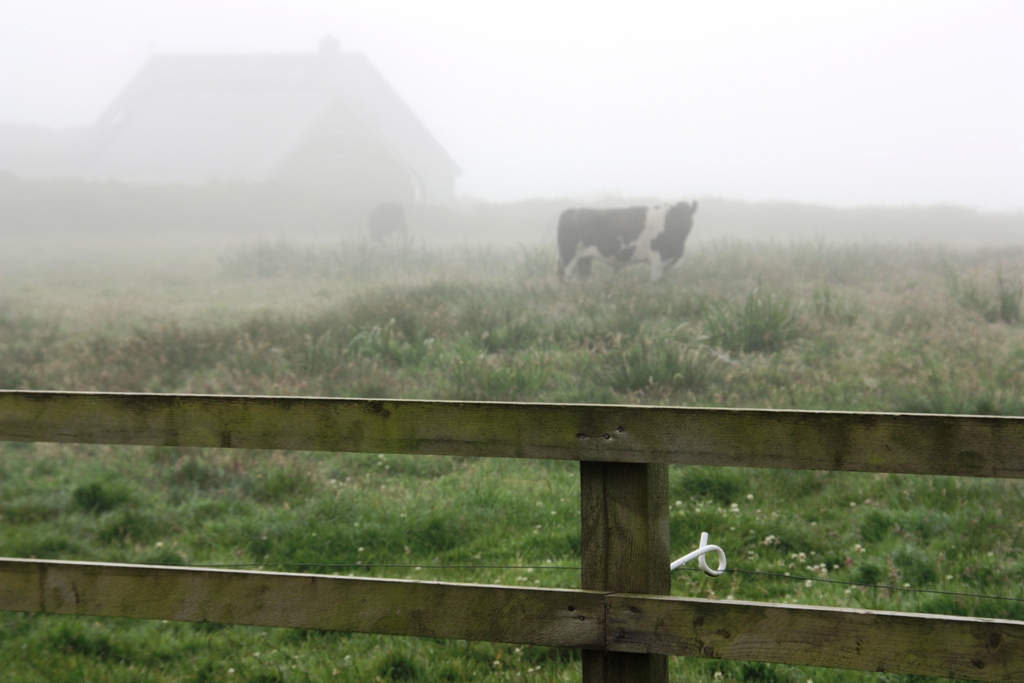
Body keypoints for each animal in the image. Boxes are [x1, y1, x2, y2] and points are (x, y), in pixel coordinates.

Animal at [557, 200, 700, 282]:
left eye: (687, 215)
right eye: (675, 216)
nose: (682, 225)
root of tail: (571, 211)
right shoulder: (657, 258)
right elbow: (656, 281)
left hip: (584, 259)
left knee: (582, 277)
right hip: (569, 257)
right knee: (565, 277)